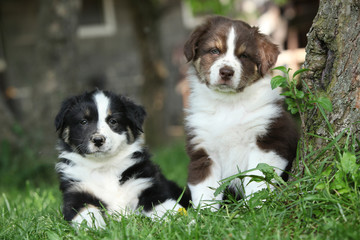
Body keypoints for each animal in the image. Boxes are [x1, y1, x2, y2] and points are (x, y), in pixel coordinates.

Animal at [54, 89, 190, 228]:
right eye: (83, 122)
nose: (98, 140)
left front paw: (187, 223)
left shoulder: (148, 188)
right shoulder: (76, 193)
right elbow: (87, 213)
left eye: (113, 121)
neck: (104, 166)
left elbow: (170, 209)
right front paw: (96, 228)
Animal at [183, 15, 298, 209]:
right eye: (214, 50)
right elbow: (204, 190)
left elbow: (258, 180)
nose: (226, 72)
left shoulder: (270, 141)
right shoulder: (203, 151)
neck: (228, 104)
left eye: (244, 55)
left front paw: (256, 208)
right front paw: (204, 215)